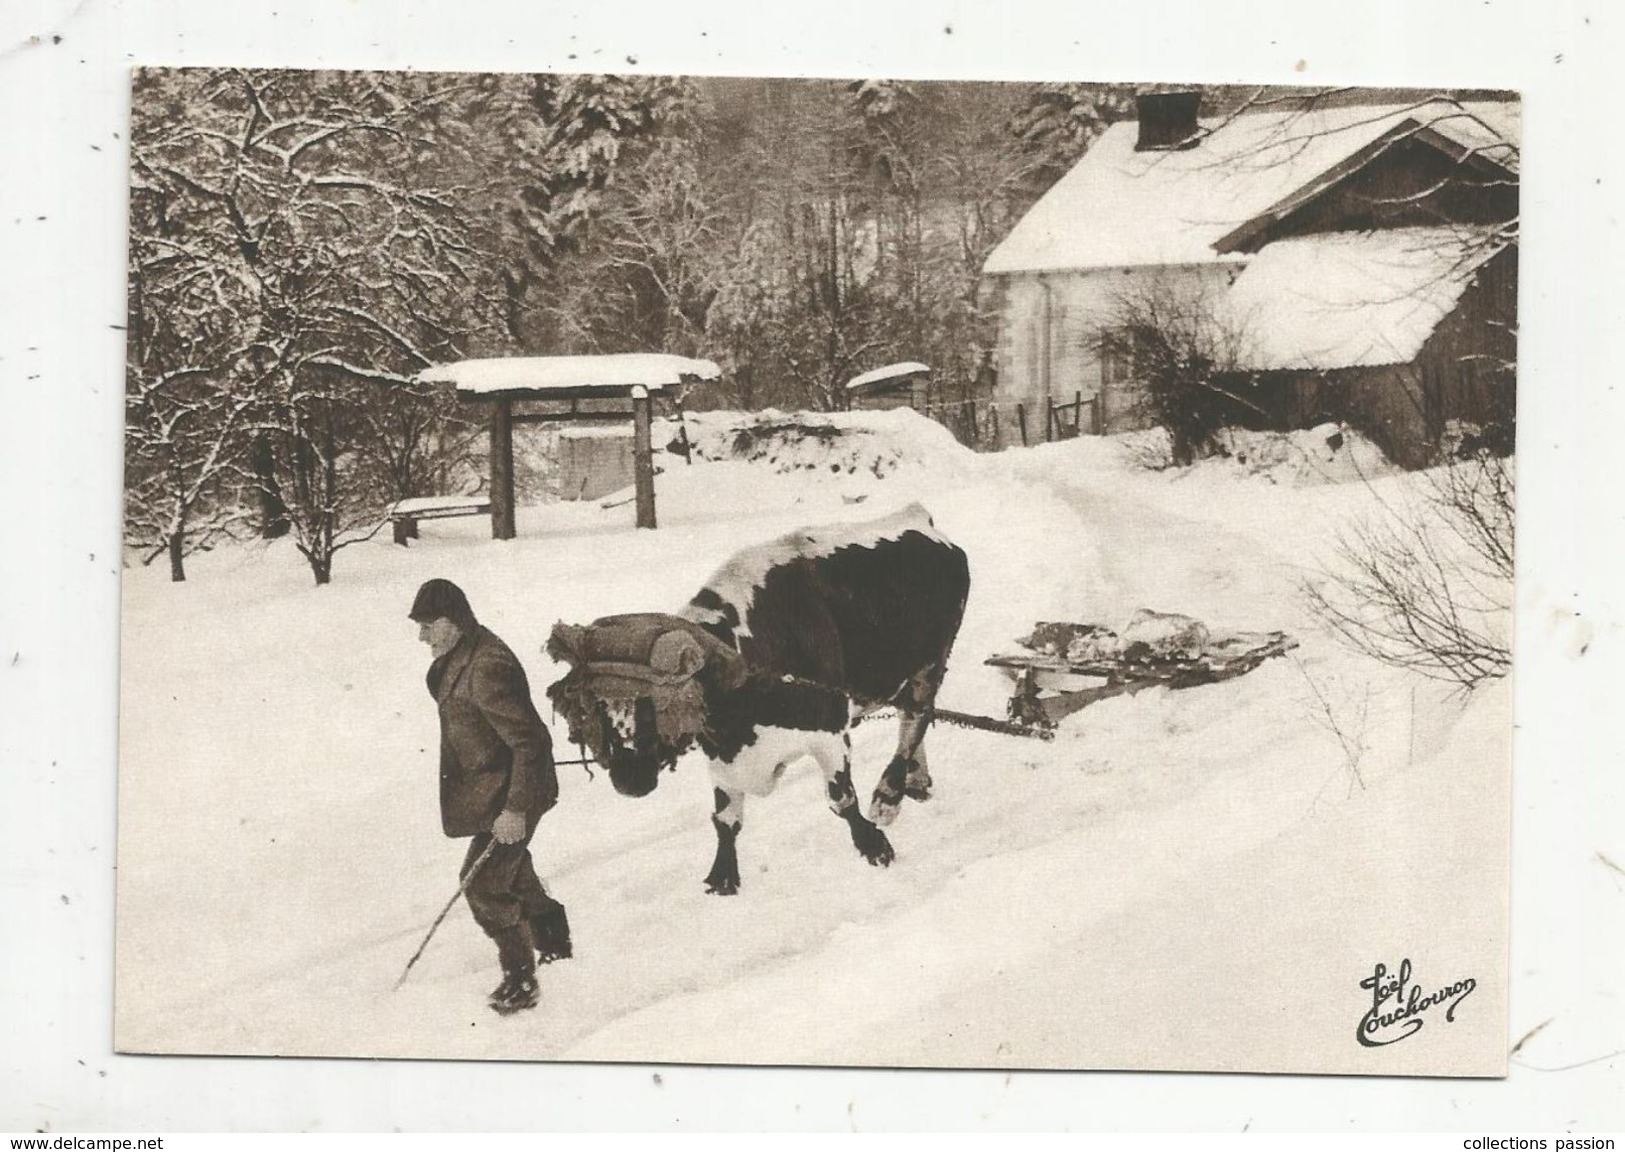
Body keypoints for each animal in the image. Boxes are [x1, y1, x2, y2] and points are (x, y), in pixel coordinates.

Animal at [552, 500, 968, 890]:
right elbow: (725, 820)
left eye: (658, 705)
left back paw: (889, 795)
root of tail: (917, 516)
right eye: (596, 709)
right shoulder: (722, 761)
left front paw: (874, 846)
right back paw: (916, 782)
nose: (627, 779)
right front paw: (722, 878)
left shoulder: (830, 729)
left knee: (916, 719)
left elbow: (842, 800)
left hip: (931, 664)